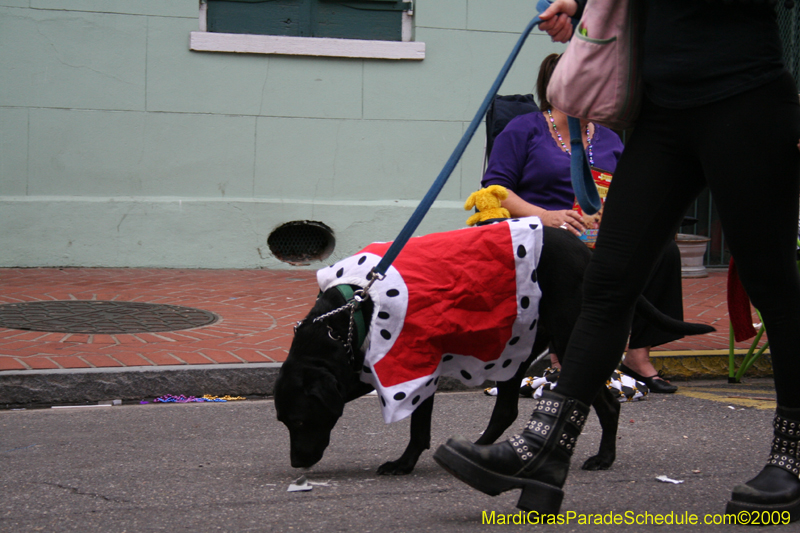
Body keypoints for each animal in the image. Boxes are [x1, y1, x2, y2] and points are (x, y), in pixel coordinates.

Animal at [276, 224, 712, 474]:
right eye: (283, 422)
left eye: (299, 420)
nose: (297, 462)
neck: (351, 313)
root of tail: (587, 251)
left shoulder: (417, 369)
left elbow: (418, 428)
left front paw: (403, 463)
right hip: (517, 345)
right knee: (507, 409)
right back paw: (481, 450)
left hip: (571, 337)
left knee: (607, 404)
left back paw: (603, 459)